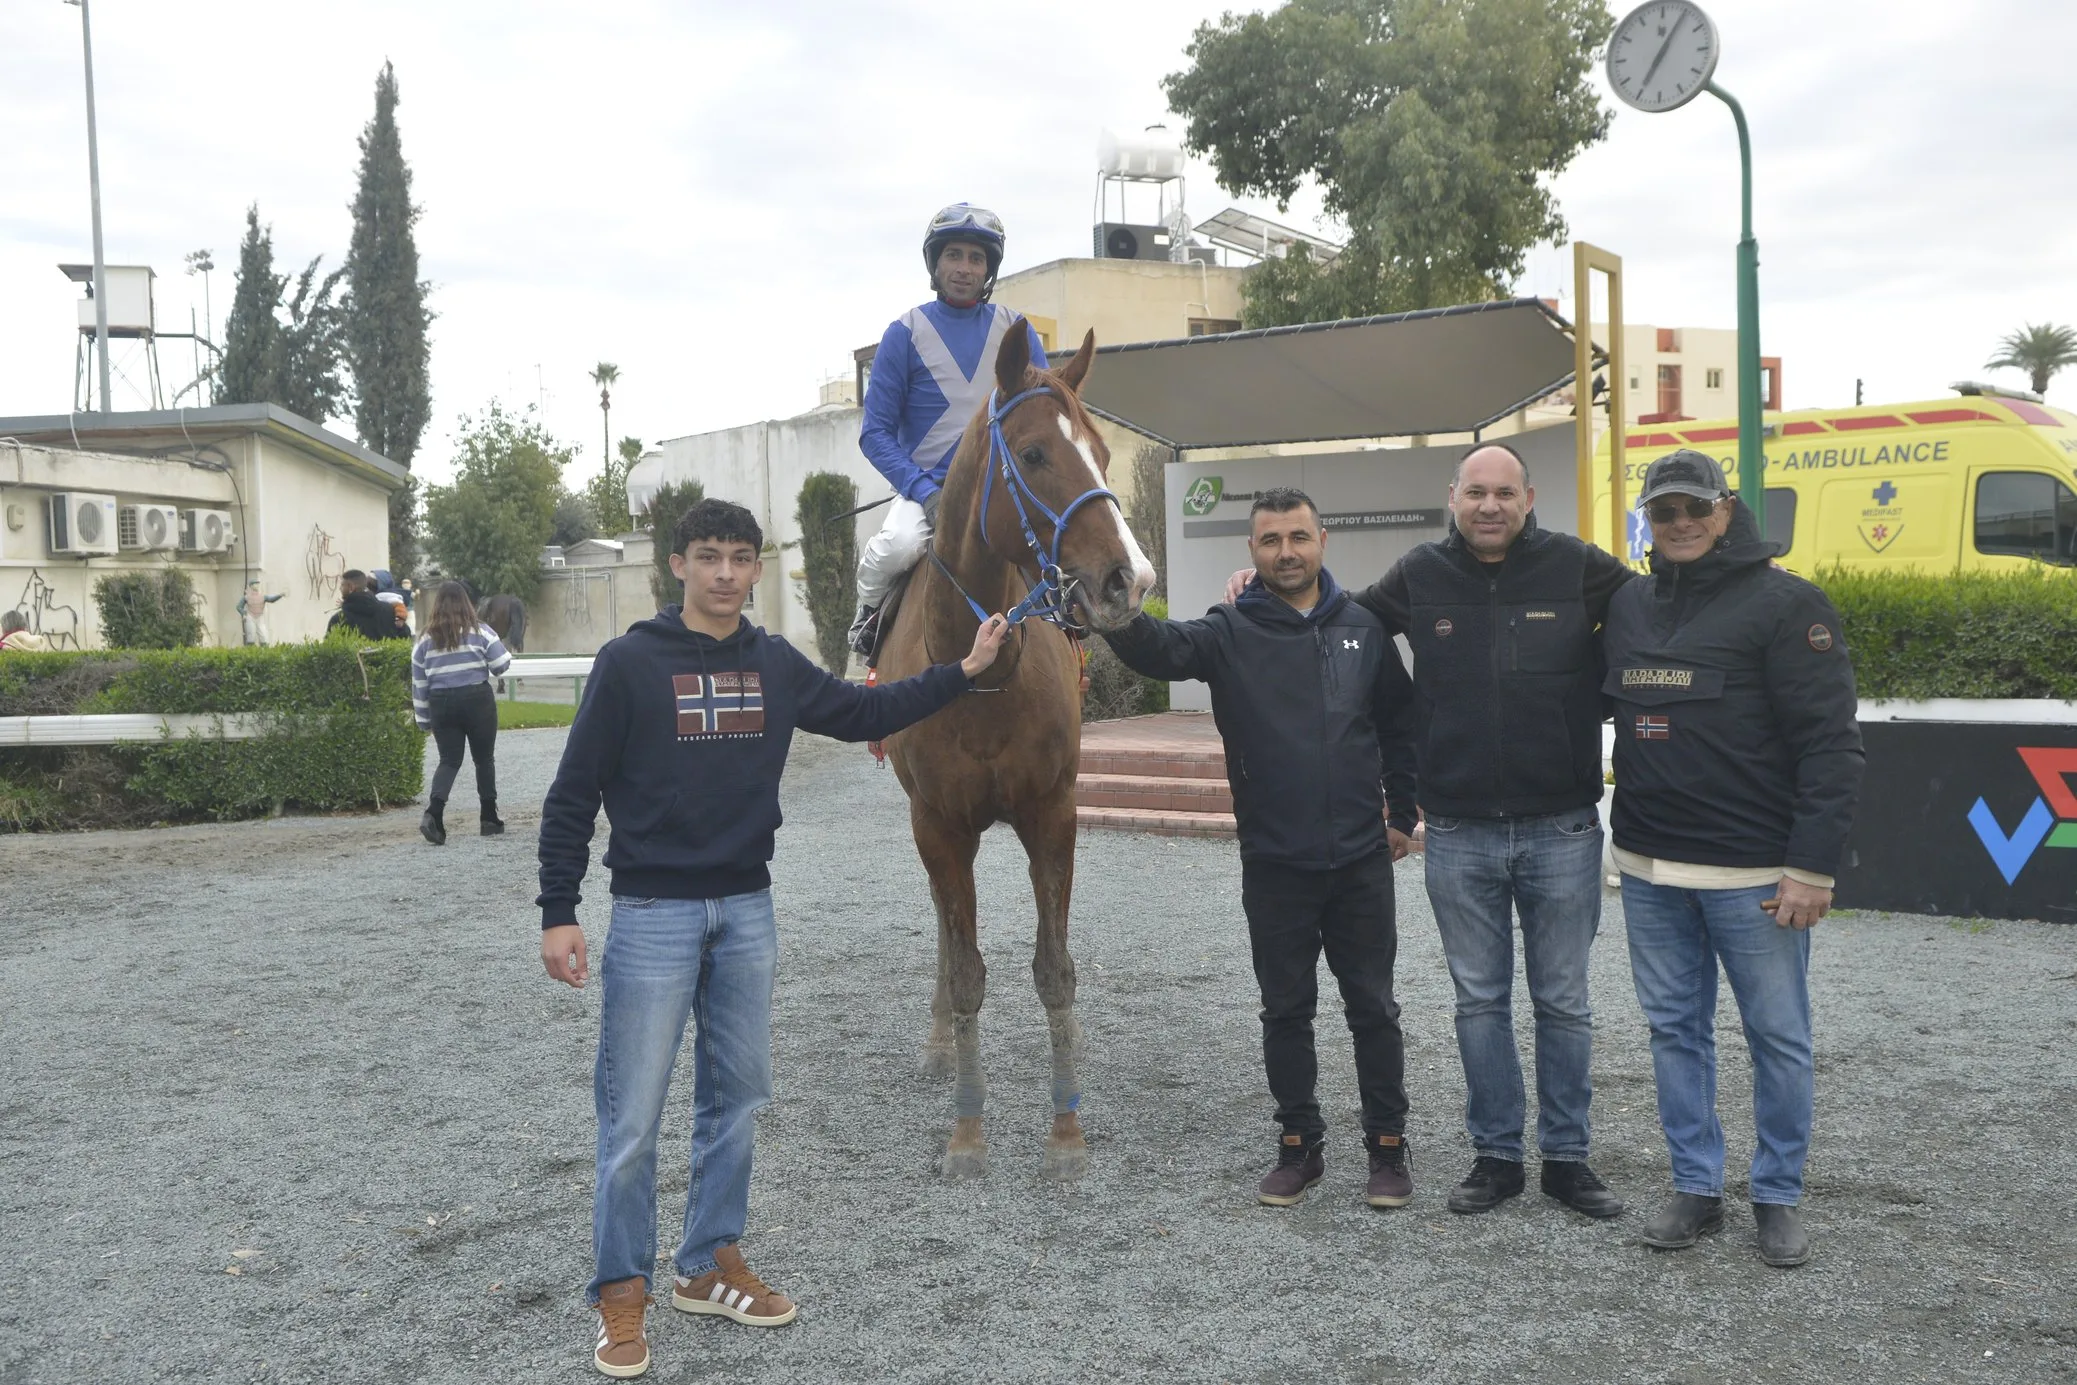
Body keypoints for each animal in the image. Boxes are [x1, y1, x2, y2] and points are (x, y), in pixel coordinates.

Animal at [878, 324, 1156, 1180]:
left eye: (1100, 450)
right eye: (1033, 454)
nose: (1130, 579)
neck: (983, 673)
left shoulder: (1052, 813)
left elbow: (1053, 968)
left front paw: (1066, 1130)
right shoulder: (937, 825)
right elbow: (968, 967)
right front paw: (967, 1132)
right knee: (945, 930)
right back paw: (939, 1043)